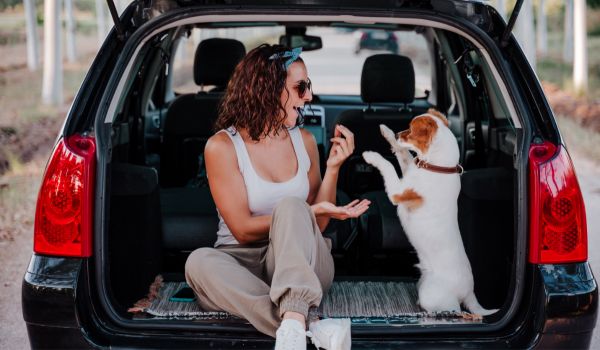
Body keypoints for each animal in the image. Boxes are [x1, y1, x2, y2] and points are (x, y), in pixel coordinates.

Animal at [360, 108, 496, 316]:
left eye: (410, 130)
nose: (398, 134)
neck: (438, 168)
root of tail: (469, 293)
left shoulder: (398, 191)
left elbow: (389, 165)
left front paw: (371, 156)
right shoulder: (410, 168)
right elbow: (403, 152)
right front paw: (387, 132)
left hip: (433, 295)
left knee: (454, 309)